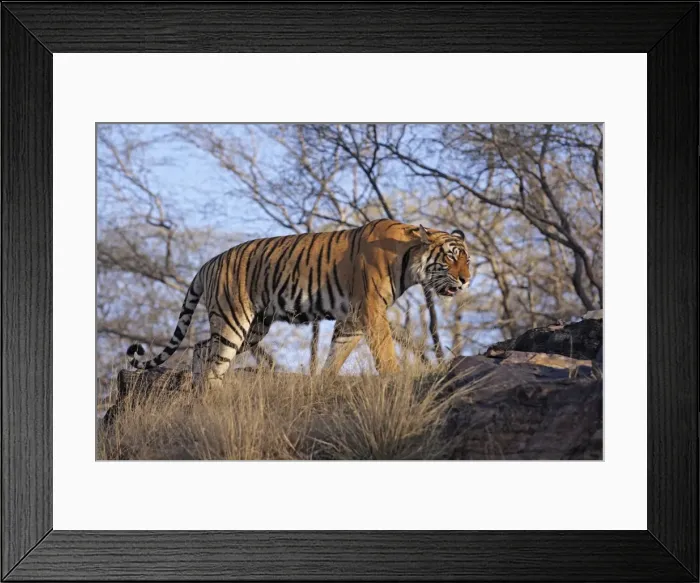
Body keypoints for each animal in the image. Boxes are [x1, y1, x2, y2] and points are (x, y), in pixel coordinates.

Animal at [127, 219, 471, 387]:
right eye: (451, 256)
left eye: (468, 259)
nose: (467, 279)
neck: (409, 260)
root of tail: (207, 263)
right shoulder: (371, 309)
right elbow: (385, 349)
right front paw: (395, 378)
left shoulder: (353, 317)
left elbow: (337, 354)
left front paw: (325, 382)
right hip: (233, 320)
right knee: (215, 363)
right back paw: (212, 396)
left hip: (254, 326)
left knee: (201, 350)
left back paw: (197, 393)